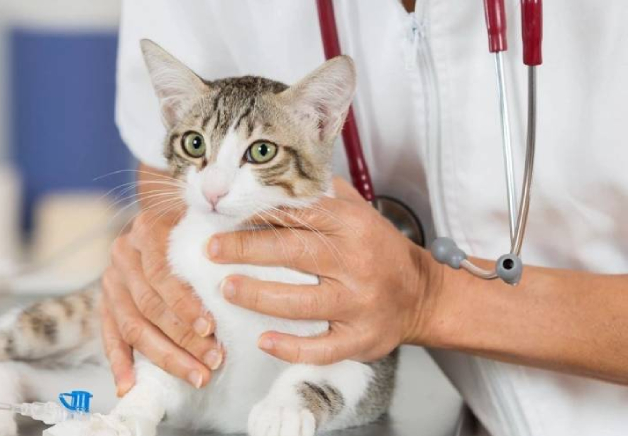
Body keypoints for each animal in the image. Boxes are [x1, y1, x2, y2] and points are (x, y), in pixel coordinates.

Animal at [0, 41, 394, 436]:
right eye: (194, 143)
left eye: (262, 150)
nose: (213, 190)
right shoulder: (173, 328)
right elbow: (156, 375)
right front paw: (122, 421)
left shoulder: (361, 340)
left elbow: (329, 372)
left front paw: (283, 409)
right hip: (63, 322)